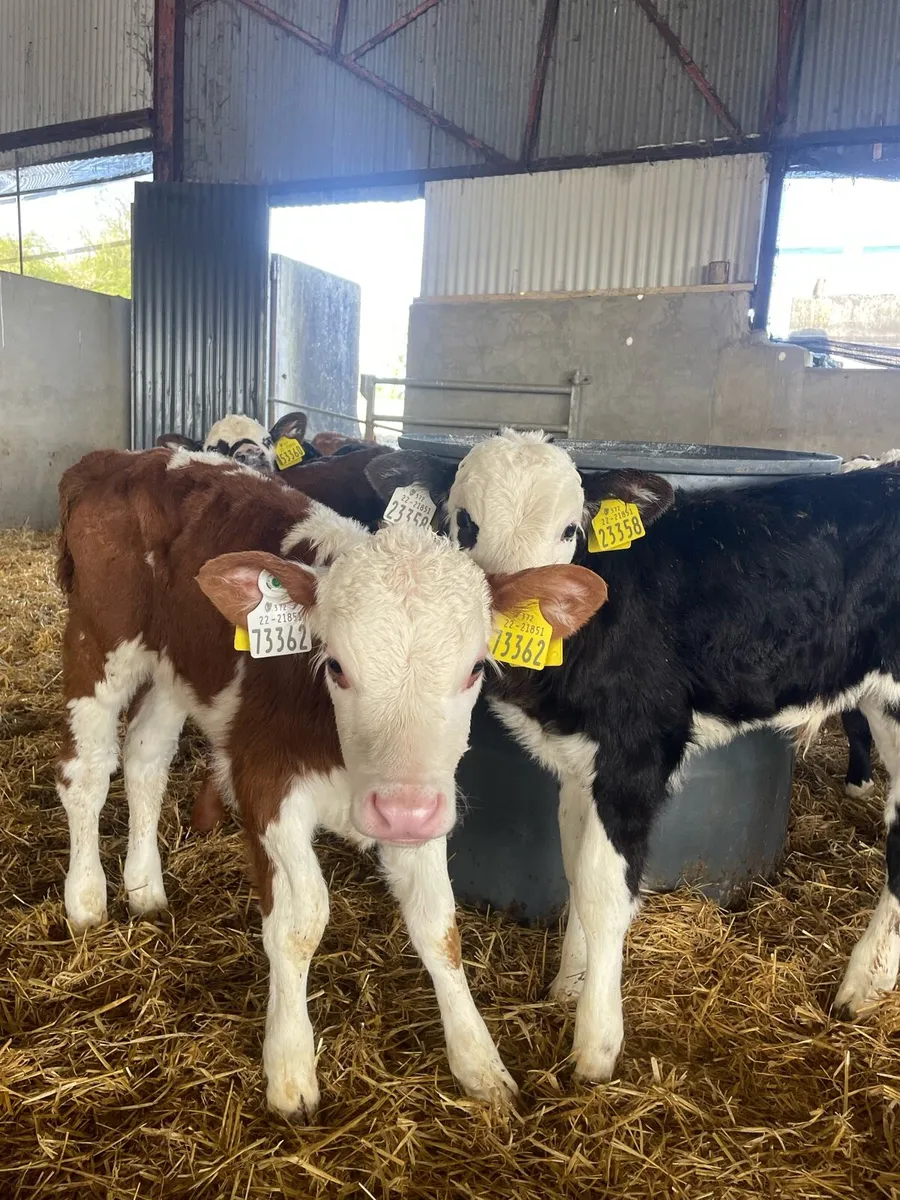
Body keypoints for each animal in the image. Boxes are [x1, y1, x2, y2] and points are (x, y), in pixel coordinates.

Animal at [55, 444, 605, 1115]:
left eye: (477, 667)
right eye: (336, 666)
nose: (402, 811)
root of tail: (124, 457)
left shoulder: (418, 798)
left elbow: (439, 926)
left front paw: (480, 1064)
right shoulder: (264, 785)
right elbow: (300, 921)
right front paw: (290, 1067)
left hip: (177, 666)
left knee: (145, 757)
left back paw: (144, 889)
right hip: (99, 639)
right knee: (86, 772)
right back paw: (86, 901)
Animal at [364, 429, 900, 1083]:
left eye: (571, 529)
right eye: (464, 521)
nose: (523, 607)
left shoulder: (638, 751)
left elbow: (603, 890)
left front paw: (594, 1046)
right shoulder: (578, 760)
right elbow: (574, 866)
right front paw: (569, 985)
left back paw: (860, 984)